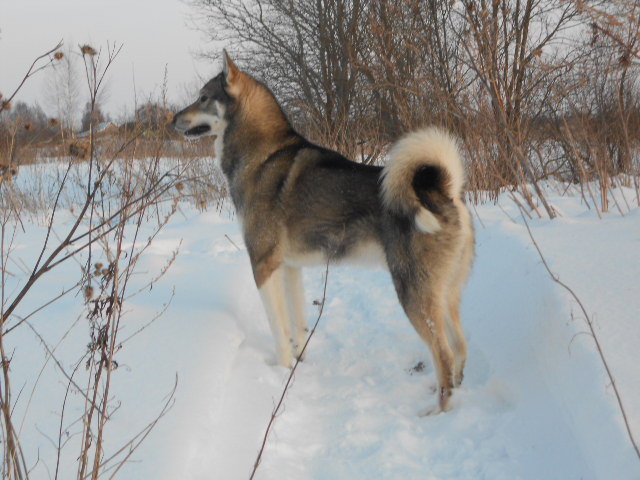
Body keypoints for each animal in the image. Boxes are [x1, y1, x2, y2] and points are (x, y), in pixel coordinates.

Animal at [174, 51, 476, 412]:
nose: (172, 119)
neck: (262, 154)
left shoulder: (262, 265)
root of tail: (445, 191)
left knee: (443, 355)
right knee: (460, 347)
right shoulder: (290, 268)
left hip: (414, 294)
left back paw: (437, 412)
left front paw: (281, 370)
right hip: (446, 295)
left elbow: (278, 328)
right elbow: (298, 325)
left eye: (203, 97)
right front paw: (299, 365)